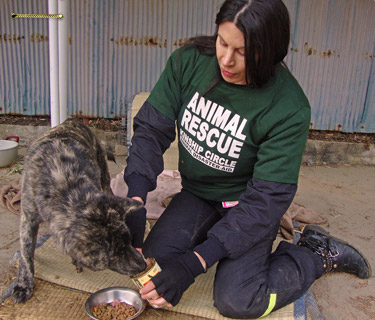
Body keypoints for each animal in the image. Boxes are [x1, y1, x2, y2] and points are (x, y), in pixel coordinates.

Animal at [12, 119, 147, 304]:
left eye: (129, 240)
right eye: (115, 254)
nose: (143, 265)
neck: (66, 189)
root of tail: (73, 121)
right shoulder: (27, 217)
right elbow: (25, 254)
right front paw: (23, 284)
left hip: (103, 175)